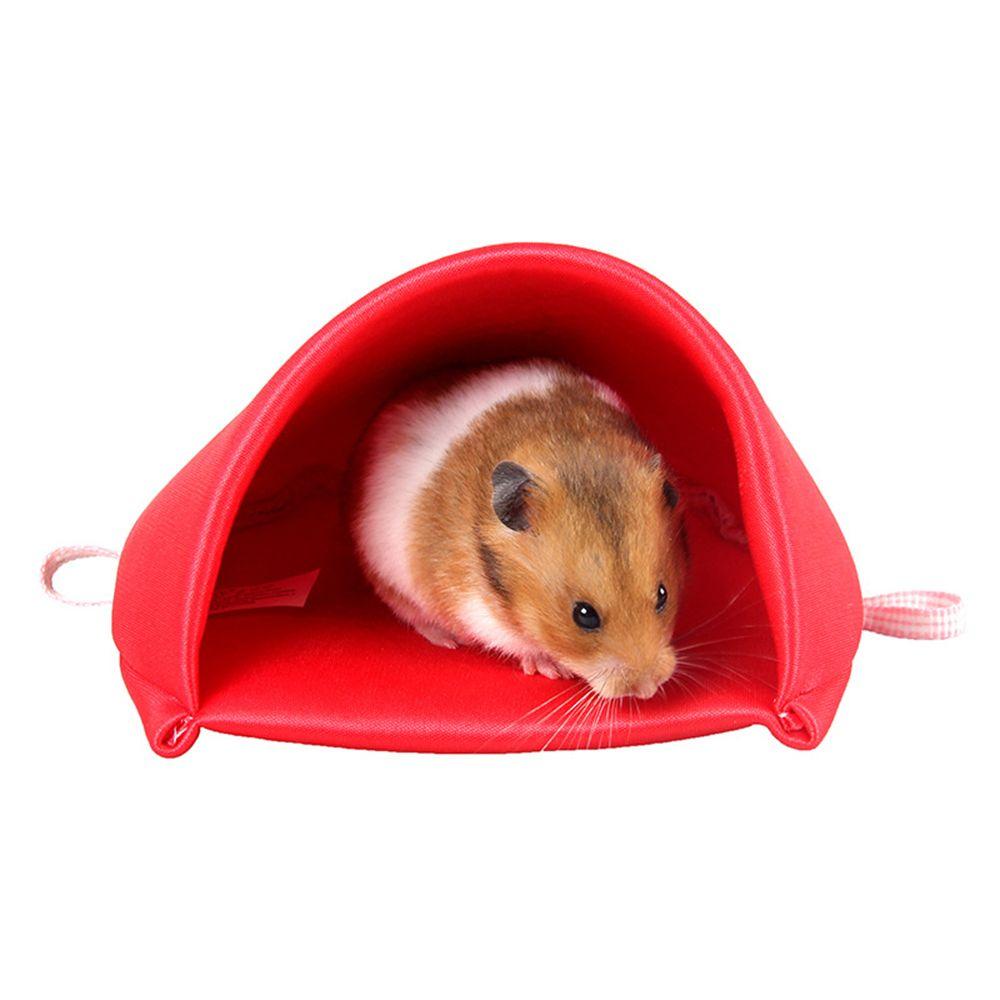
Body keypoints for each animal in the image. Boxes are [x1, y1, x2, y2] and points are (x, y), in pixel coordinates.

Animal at [350, 360, 687, 699]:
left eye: (663, 595)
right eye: (584, 615)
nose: (648, 688)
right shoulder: (478, 611)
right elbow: (518, 642)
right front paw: (552, 669)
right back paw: (446, 639)